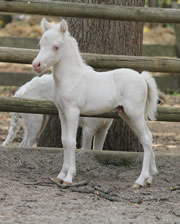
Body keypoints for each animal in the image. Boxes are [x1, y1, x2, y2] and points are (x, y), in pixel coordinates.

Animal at [32, 18, 158, 187]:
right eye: (41, 44)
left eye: (56, 46)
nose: (36, 65)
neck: (71, 77)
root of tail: (142, 78)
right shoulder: (62, 112)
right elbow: (64, 141)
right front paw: (60, 176)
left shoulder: (73, 112)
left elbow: (71, 142)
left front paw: (69, 178)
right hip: (127, 115)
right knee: (148, 137)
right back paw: (149, 178)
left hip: (134, 113)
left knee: (146, 139)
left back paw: (139, 180)